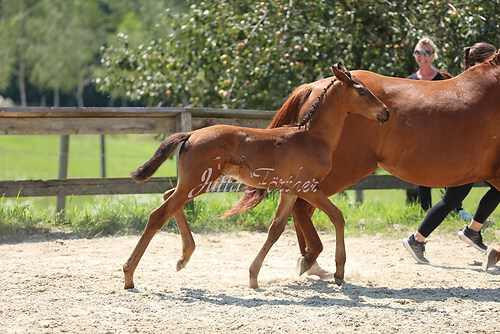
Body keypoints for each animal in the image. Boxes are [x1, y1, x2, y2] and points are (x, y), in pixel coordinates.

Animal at [123, 63, 388, 290]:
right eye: (362, 91)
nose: (385, 113)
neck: (312, 137)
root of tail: (190, 134)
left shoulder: (289, 191)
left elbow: (275, 229)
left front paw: (253, 275)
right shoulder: (307, 188)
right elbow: (337, 216)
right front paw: (339, 272)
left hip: (194, 182)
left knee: (169, 196)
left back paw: (183, 257)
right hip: (197, 182)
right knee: (158, 215)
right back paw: (129, 274)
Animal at [228, 52, 500, 276]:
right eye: (361, 92)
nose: (385, 112)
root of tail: (313, 86)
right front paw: (491, 252)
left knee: (301, 210)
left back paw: (311, 262)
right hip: (335, 173)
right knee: (302, 208)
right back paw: (312, 259)